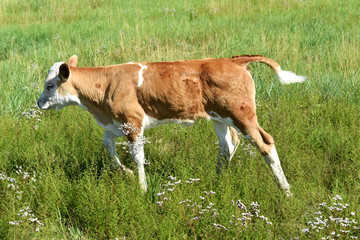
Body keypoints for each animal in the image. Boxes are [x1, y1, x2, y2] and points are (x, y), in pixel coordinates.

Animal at [38, 55, 306, 196]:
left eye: (50, 85)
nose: (39, 103)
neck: (106, 85)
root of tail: (234, 61)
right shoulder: (116, 124)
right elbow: (107, 143)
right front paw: (124, 173)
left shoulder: (133, 124)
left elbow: (137, 157)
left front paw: (142, 188)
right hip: (219, 117)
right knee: (228, 145)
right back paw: (216, 181)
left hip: (242, 115)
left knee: (266, 144)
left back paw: (286, 190)